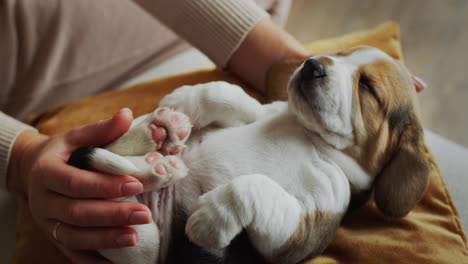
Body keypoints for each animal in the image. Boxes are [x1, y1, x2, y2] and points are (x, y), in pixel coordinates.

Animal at [69, 46, 432, 262]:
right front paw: (186, 99)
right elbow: (233, 97)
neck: (310, 137)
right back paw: (162, 131)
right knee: (112, 155)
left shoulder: (299, 231)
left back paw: (159, 166)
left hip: (136, 238)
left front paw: (209, 218)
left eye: (367, 86)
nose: (312, 65)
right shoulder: (265, 110)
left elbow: (255, 186)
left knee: (130, 205)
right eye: (339, 54)